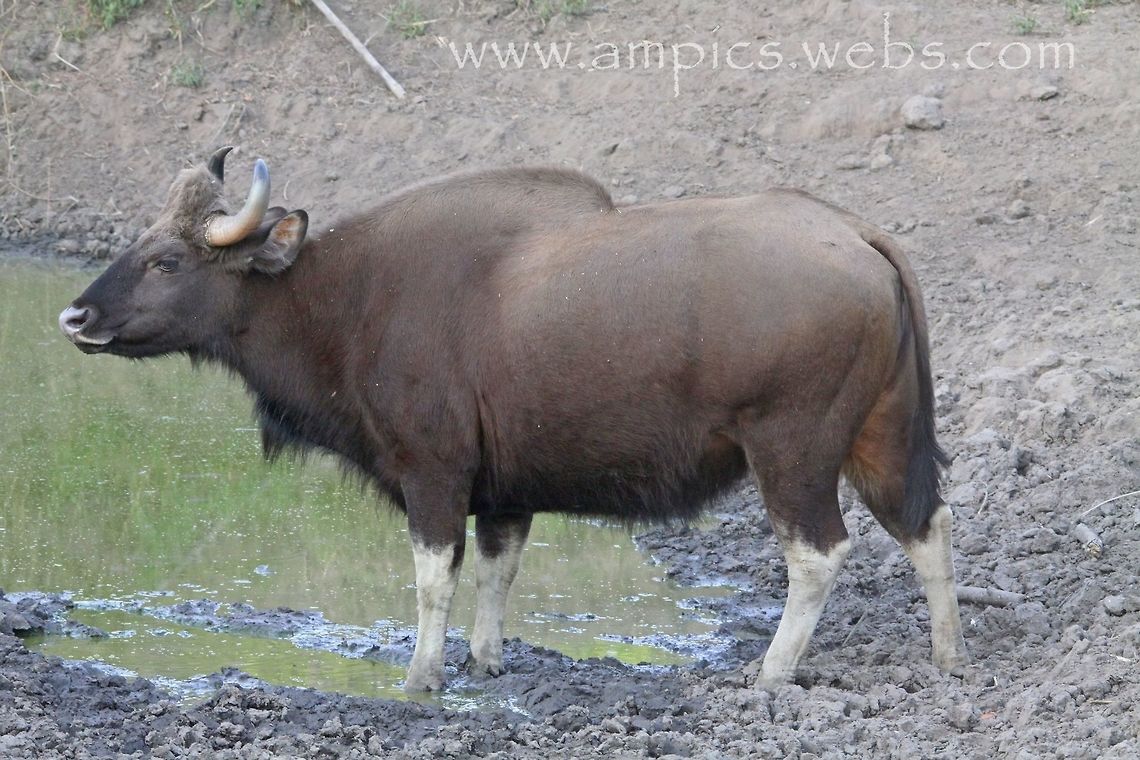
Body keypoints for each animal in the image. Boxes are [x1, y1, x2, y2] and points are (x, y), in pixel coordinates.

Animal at [60, 148, 968, 691]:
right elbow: (500, 572)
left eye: (166, 260)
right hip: (880, 435)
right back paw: (948, 654)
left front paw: (422, 675)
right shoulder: (504, 490)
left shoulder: (433, 472)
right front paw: (486, 659)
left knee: (818, 553)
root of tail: (859, 234)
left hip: (792, 447)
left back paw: (772, 672)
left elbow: (435, 577)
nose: (76, 317)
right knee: (927, 525)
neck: (349, 302)